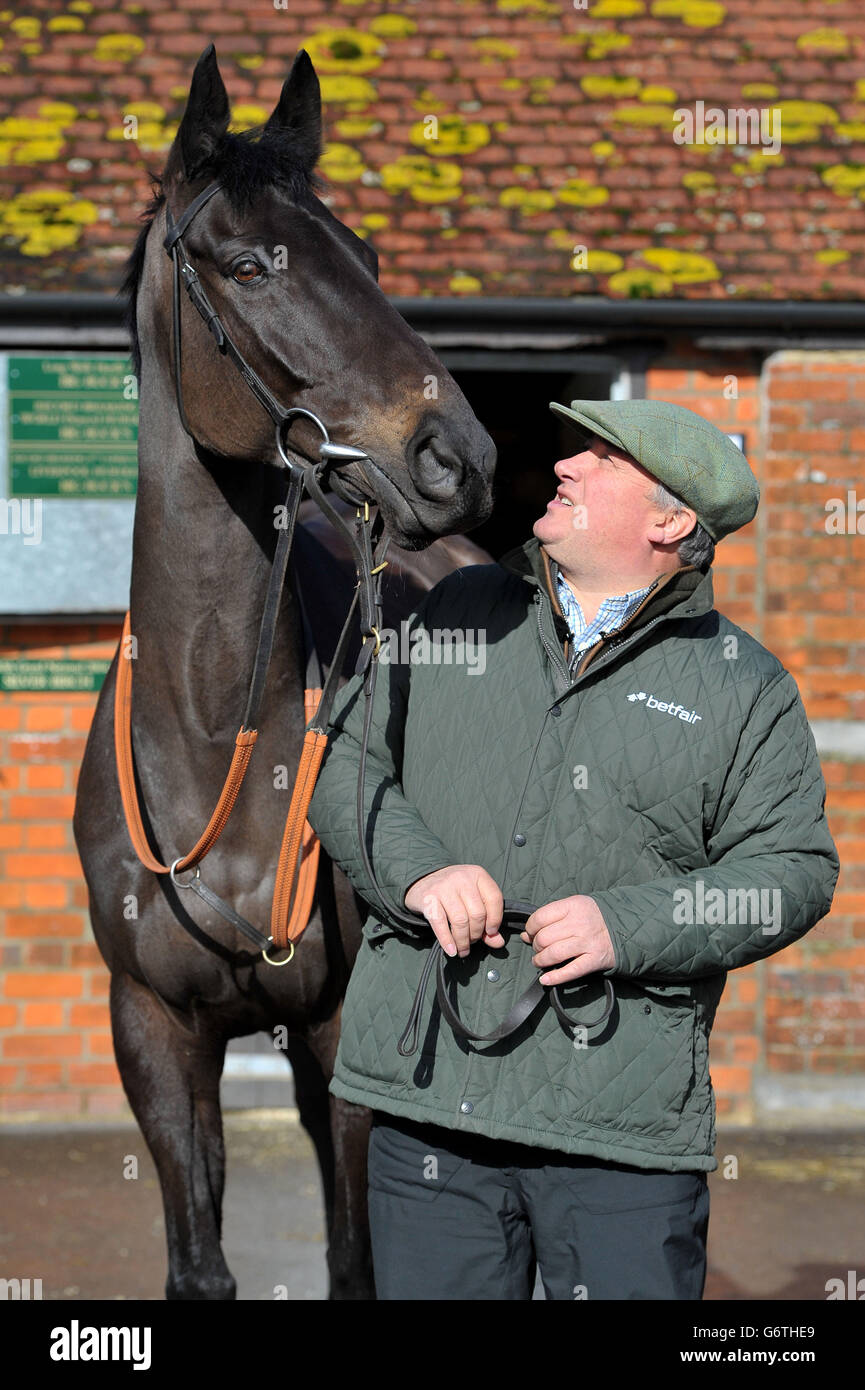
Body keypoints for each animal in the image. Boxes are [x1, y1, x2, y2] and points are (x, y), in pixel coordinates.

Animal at [73, 46, 495, 1301]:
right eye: (251, 263)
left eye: (364, 254)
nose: (455, 455)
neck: (216, 733)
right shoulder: (154, 1032)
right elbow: (197, 1264)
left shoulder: (347, 1028)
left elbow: (360, 1261)